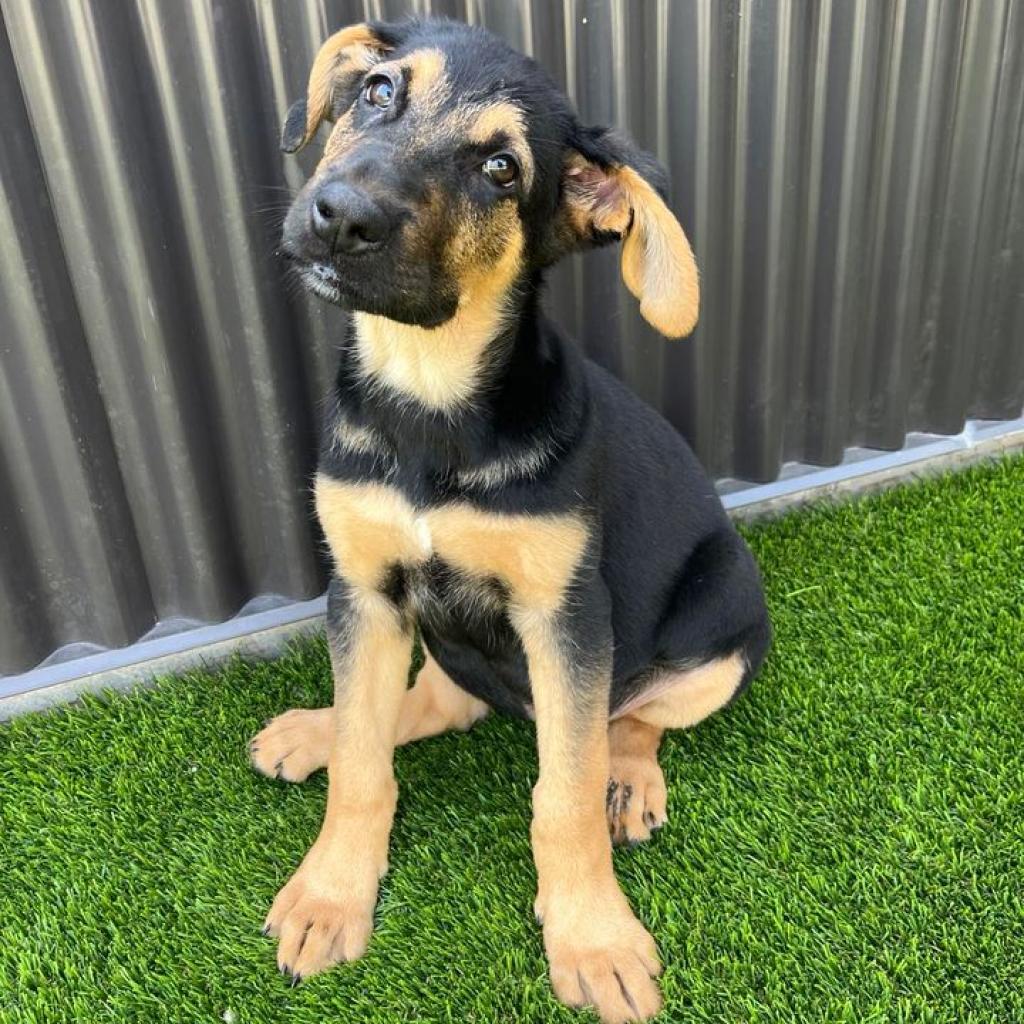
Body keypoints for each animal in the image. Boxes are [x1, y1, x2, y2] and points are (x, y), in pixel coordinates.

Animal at [249, 18, 770, 1024]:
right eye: (378, 91)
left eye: (500, 168)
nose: (339, 215)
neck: (429, 401)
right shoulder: (363, 589)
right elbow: (364, 764)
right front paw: (332, 892)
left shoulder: (566, 618)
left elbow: (560, 797)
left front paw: (593, 938)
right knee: (431, 702)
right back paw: (314, 730)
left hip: (724, 633)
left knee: (632, 719)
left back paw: (629, 780)